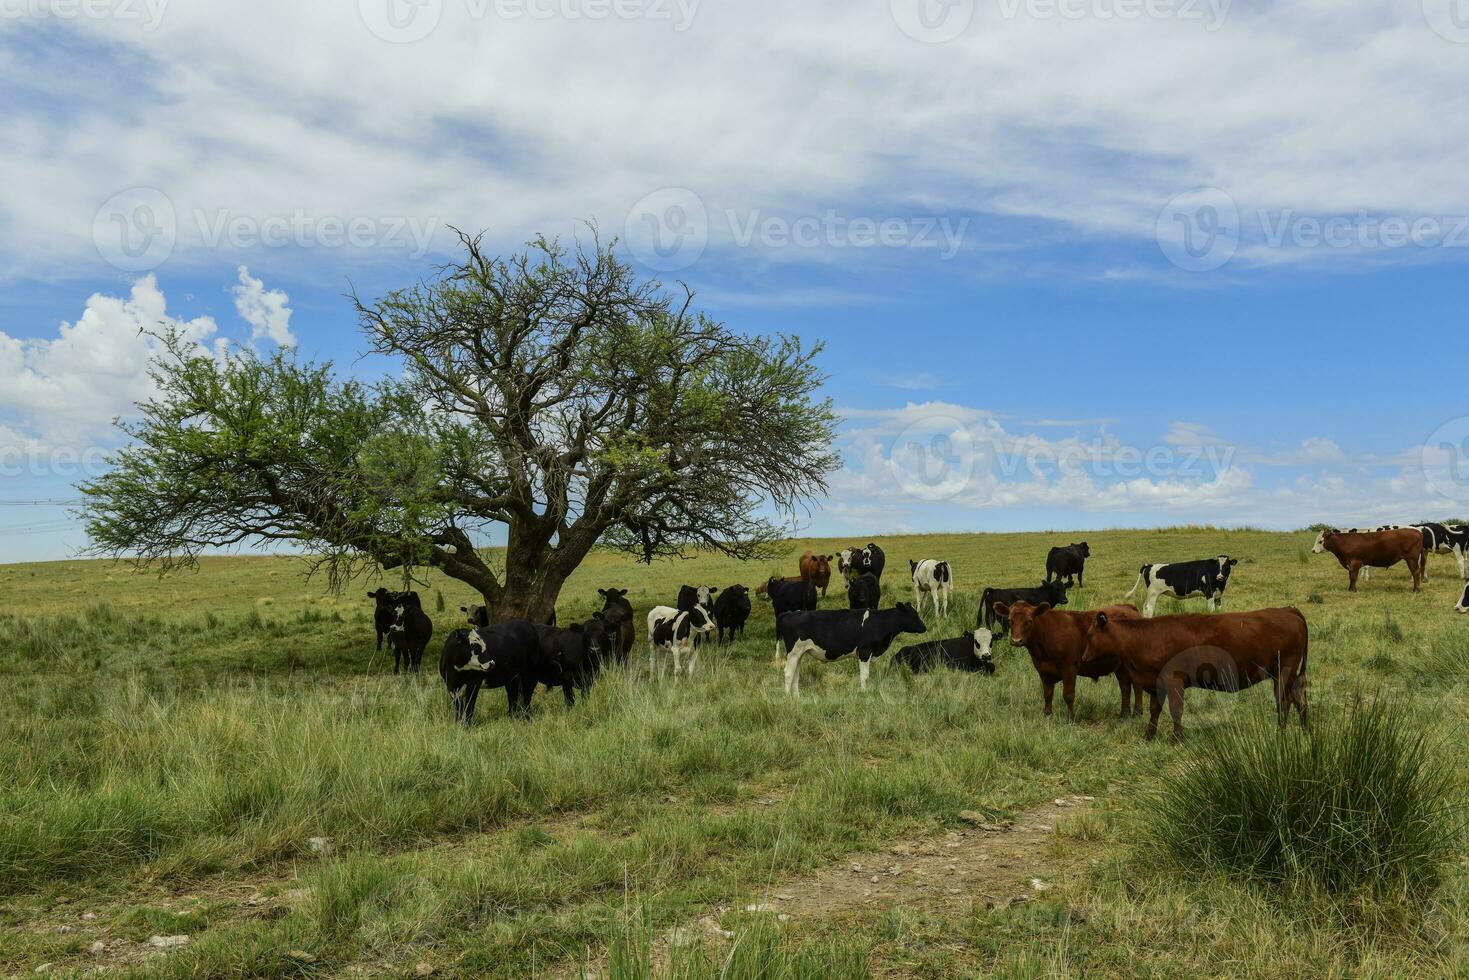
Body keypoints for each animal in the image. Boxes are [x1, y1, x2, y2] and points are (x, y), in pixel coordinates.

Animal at [775, 602, 922, 693]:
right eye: (914, 615)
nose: (924, 627)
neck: (879, 622)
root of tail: (788, 613)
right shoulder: (864, 651)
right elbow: (865, 676)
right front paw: (864, 692)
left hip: (799, 653)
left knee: (795, 674)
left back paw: (797, 698)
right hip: (794, 652)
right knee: (788, 673)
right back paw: (788, 698)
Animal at [998, 599, 1145, 719]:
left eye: (1029, 621)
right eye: (1010, 620)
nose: (1016, 640)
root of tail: (1129, 607)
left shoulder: (1069, 667)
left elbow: (1068, 695)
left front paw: (1071, 719)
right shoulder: (1043, 670)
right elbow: (1047, 694)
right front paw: (1047, 715)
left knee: (1136, 685)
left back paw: (1137, 713)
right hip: (1120, 666)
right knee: (1125, 687)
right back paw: (1124, 715)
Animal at [1081, 608, 1310, 740]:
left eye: (1090, 634)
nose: (1083, 658)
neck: (1145, 639)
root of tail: (1289, 610)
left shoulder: (1173, 679)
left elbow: (1176, 709)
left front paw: (1177, 737)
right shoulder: (1156, 683)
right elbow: (1155, 710)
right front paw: (1149, 735)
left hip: (1284, 672)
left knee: (1285, 700)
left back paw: (1281, 731)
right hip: (1288, 675)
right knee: (1299, 698)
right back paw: (1304, 728)